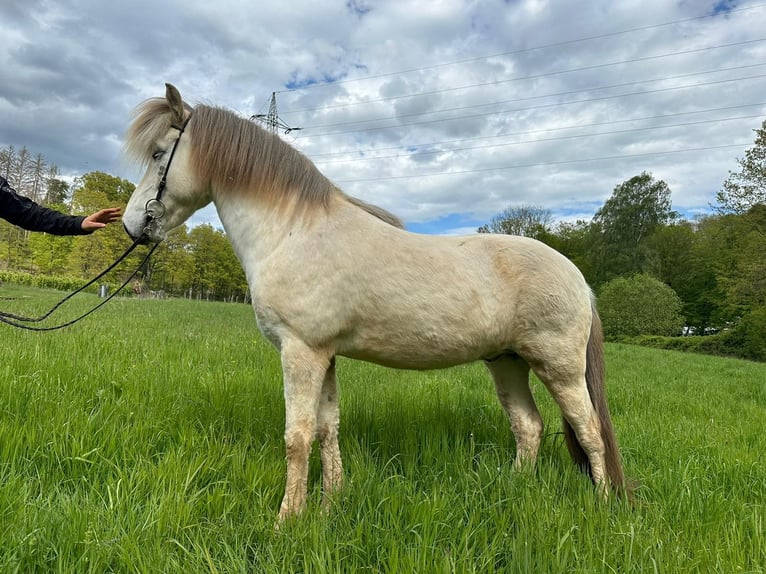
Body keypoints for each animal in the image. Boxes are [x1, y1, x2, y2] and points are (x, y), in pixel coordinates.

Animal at [124, 84, 632, 520]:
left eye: (158, 153)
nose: (132, 225)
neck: (293, 232)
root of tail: (579, 278)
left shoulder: (300, 353)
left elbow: (297, 437)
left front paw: (288, 518)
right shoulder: (324, 355)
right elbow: (327, 429)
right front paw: (330, 504)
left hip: (559, 368)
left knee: (590, 432)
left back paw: (602, 506)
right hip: (507, 362)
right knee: (529, 427)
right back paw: (513, 489)